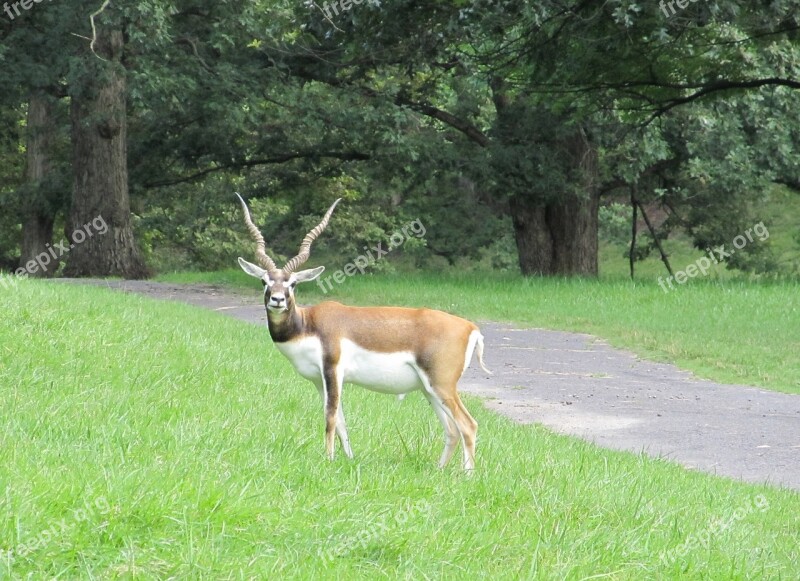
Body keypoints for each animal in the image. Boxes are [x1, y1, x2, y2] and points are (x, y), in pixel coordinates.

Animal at [234, 194, 490, 466]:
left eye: (292, 283)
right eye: (264, 281)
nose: (277, 299)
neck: (307, 325)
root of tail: (470, 327)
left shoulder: (333, 371)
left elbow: (330, 418)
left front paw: (328, 460)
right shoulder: (319, 380)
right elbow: (341, 422)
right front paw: (347, 459)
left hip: (442, 385)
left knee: (468, 425)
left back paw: (466, 473)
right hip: (429, 389)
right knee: (452, 430)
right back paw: (439, 470)